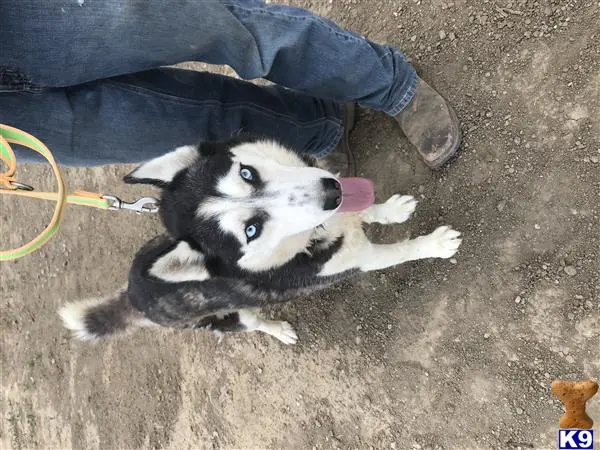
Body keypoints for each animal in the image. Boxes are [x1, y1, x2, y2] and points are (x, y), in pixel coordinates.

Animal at [61, 137, 462, 344]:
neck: (312, 236)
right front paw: (435, 245)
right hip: (223, 319)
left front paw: (391, 209)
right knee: (250, 323)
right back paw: (278, 330)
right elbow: (400, 251)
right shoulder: (354, 261)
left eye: (247, 173)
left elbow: (365, 210)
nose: (331, 191)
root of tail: (134, 292)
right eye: (251, 230)